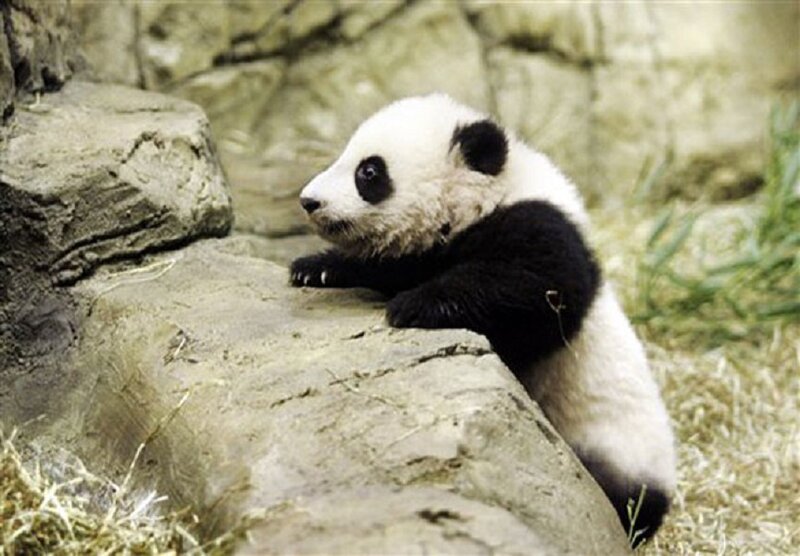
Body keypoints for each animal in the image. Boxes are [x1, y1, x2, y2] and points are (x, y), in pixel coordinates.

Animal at [289, 93, 676, 545]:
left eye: (369, 171)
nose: (309, 201)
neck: (490, 195)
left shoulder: (540, 227)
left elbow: (535, 293)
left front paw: (416, 304)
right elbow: (394, 265)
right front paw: (316, 268)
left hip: (613, 440)